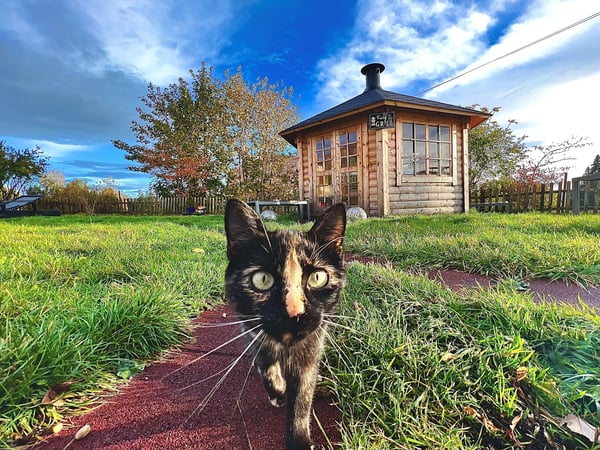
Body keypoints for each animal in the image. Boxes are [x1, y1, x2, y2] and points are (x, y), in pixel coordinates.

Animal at [224, 199, 346, 450]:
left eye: (318, 277)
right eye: (262, 279)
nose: (293, 313)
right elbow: (265, 361)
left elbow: (301, 401)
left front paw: (299, 440)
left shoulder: (311, 352)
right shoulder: (251, 332)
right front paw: (277, 391)